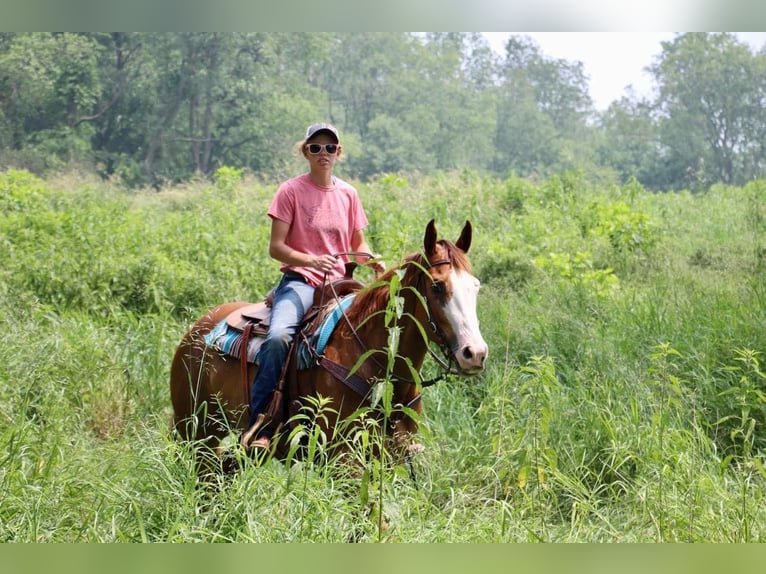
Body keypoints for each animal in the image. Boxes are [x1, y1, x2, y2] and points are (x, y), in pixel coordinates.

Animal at [170, 220, 488, 468]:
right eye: (437, 286)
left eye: (475, 286)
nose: (475, 353)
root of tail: (195, 331)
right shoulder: (343, 458)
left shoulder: (393, 455)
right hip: (195, 431)